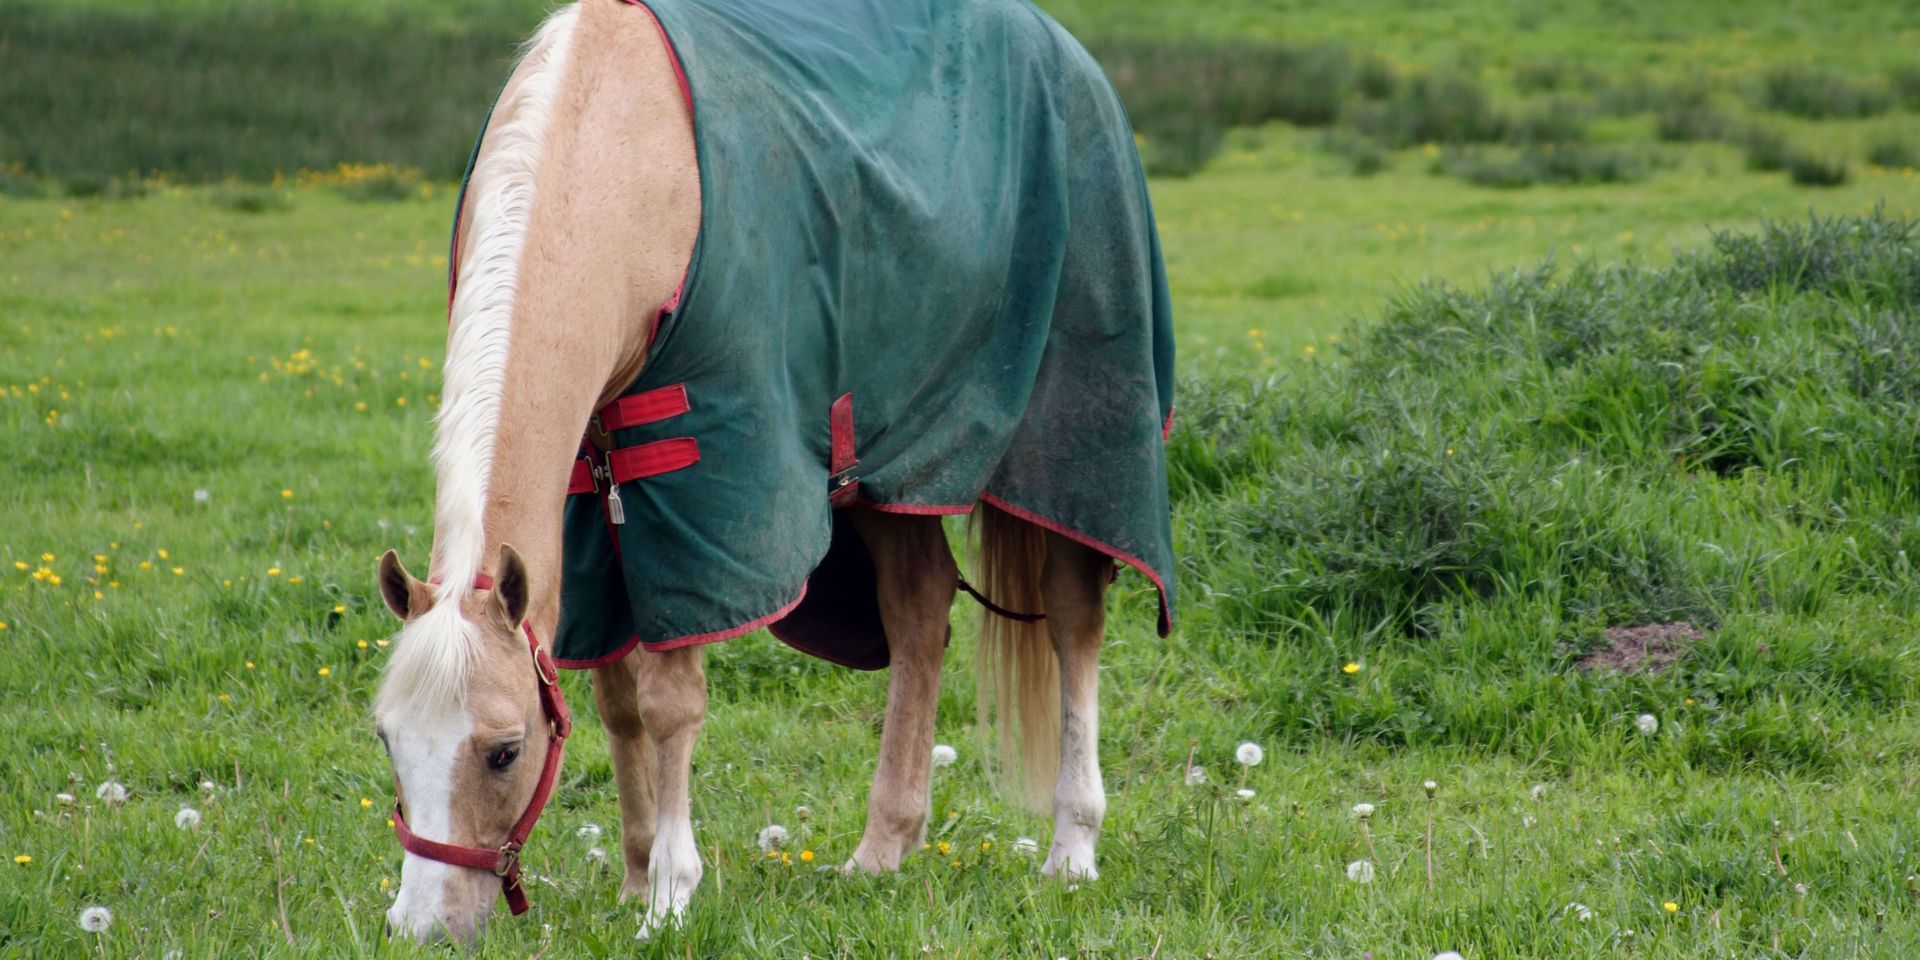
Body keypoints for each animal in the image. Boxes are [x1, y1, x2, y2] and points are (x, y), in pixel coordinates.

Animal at [370, 0, 1174, 943]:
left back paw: (1072, 845)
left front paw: (670, 896)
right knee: (918, 606)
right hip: (886, 474)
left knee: (1073, 614)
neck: (622, 157)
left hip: (1072, 441)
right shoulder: (588, 490)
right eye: (388, 740)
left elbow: (672, 698)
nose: (422, 926)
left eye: (503, 752)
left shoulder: (702, 479)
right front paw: (636, 876)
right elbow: (614, 695)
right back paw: (884, 846)